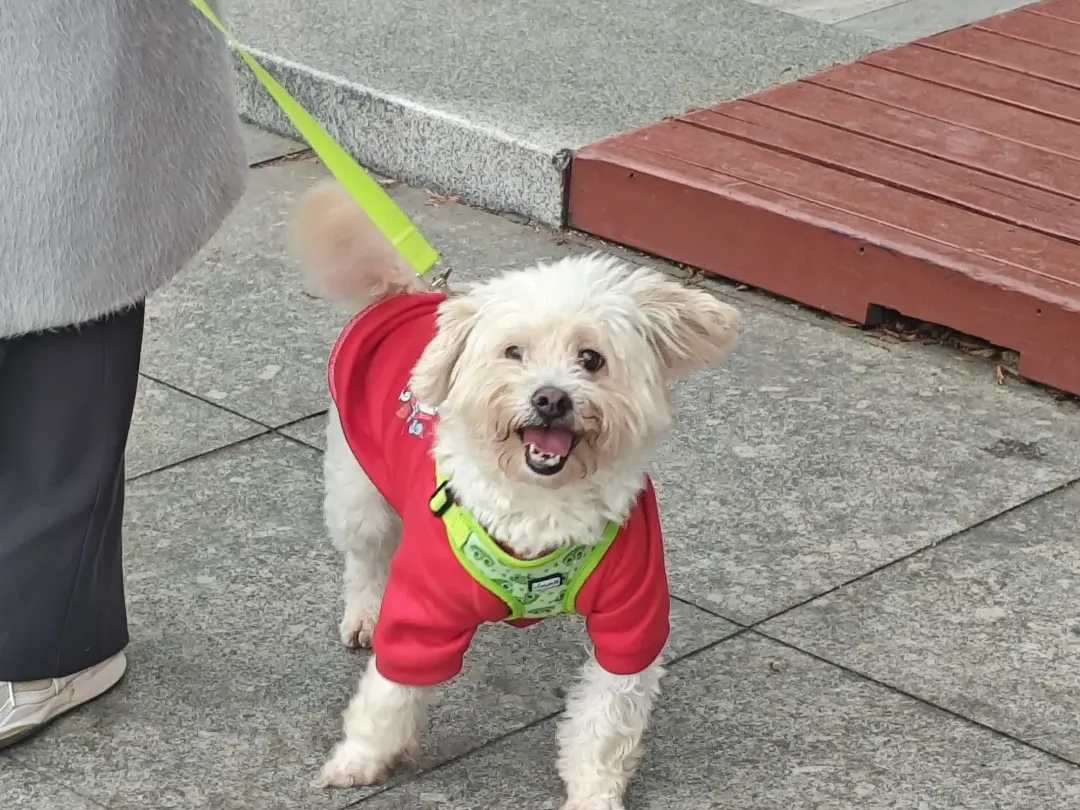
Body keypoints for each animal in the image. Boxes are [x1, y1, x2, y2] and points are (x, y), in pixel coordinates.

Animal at [292, 180, 741, 810]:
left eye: (591, 358)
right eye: (513, 353)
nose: (551, 398)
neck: (540, 503)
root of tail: (412, 294)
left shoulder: (632, 619)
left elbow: (605, 722)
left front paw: (593, 793)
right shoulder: (421, 610)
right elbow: (389, 694)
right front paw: (360, 760)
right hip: (356, 488)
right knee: (366, 557)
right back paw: (363, 614)